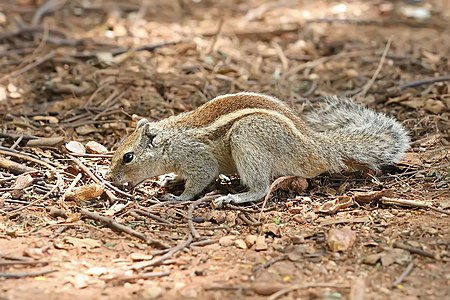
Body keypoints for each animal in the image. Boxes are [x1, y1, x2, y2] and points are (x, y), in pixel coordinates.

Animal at [106, 92, 412, 207]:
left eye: (128, 157)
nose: (110, 178)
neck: (169, 140)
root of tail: (315, 148)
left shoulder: (196, 157)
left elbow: (200, 179)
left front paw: (178, 198)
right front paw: (171, 180)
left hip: (247, 136)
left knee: (261, 188)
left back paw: (233, 197)